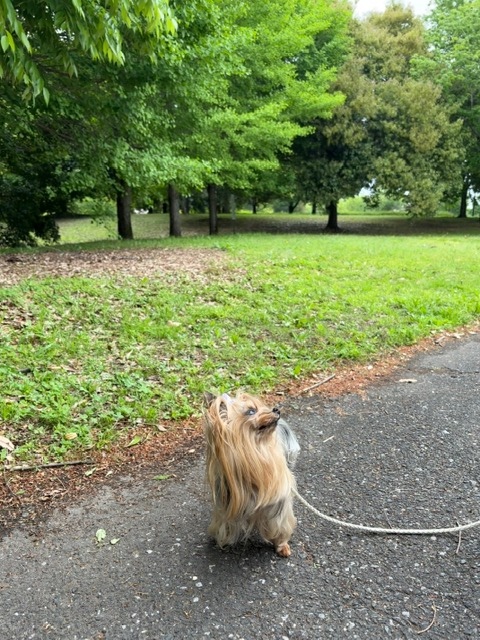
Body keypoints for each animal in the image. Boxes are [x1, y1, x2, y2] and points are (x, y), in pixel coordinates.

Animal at [203, 391, 300, 557]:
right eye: (251, 411)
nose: (276, 409)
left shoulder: (277, 506)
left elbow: (280, 525)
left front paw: (282, 545)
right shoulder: (227, 506)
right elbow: (225, 526)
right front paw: (223, 541)